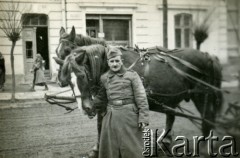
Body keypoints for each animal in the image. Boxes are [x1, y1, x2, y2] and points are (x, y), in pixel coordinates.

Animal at [54, 26, 223, 157]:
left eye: (68, 49)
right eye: (57, 52)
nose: (60, 80)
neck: (110, 64)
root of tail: (208, 56)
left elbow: (101, 124)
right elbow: (100, 124)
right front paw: (97, 149)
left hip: (201, 94)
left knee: (207, 119)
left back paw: (203, 147)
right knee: (173, 116)